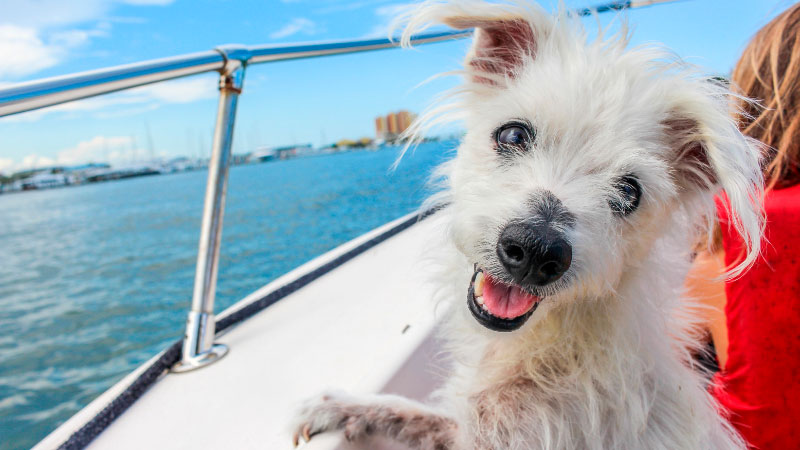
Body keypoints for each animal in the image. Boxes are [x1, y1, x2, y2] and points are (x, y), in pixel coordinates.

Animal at [292, 1, 764, 448]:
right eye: (513, 135)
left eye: (630, 192)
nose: (537, 250)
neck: (556, 347)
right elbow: (408, 412)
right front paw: (342, 406)